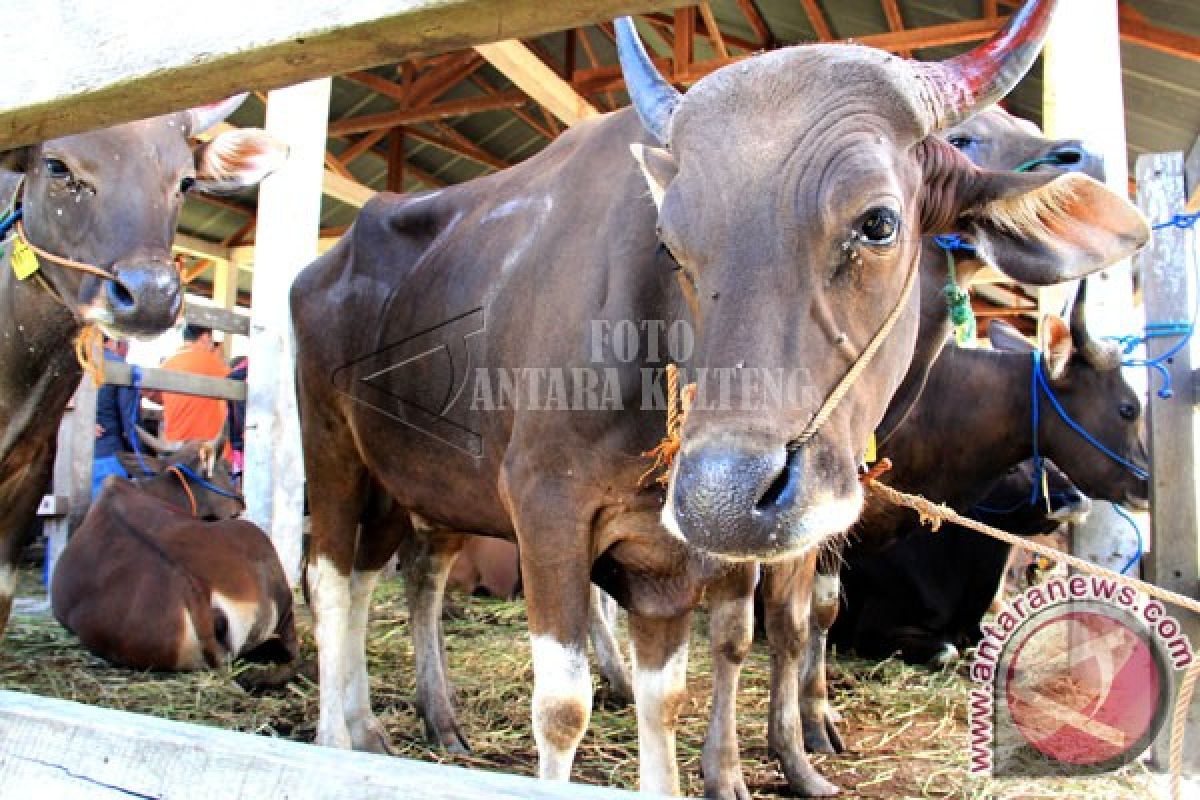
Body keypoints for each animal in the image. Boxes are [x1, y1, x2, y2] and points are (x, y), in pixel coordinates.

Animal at [292, 1, 1152, 796]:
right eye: (670, 244)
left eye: (878, 223)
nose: (723, 496)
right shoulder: (545, 509)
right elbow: (563, 707)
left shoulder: (670, 555)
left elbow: (669, 694)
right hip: (332, 451)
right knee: (331, 579)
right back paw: (336, 735)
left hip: (413, 484)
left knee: (389, 575)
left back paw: (391, 724)